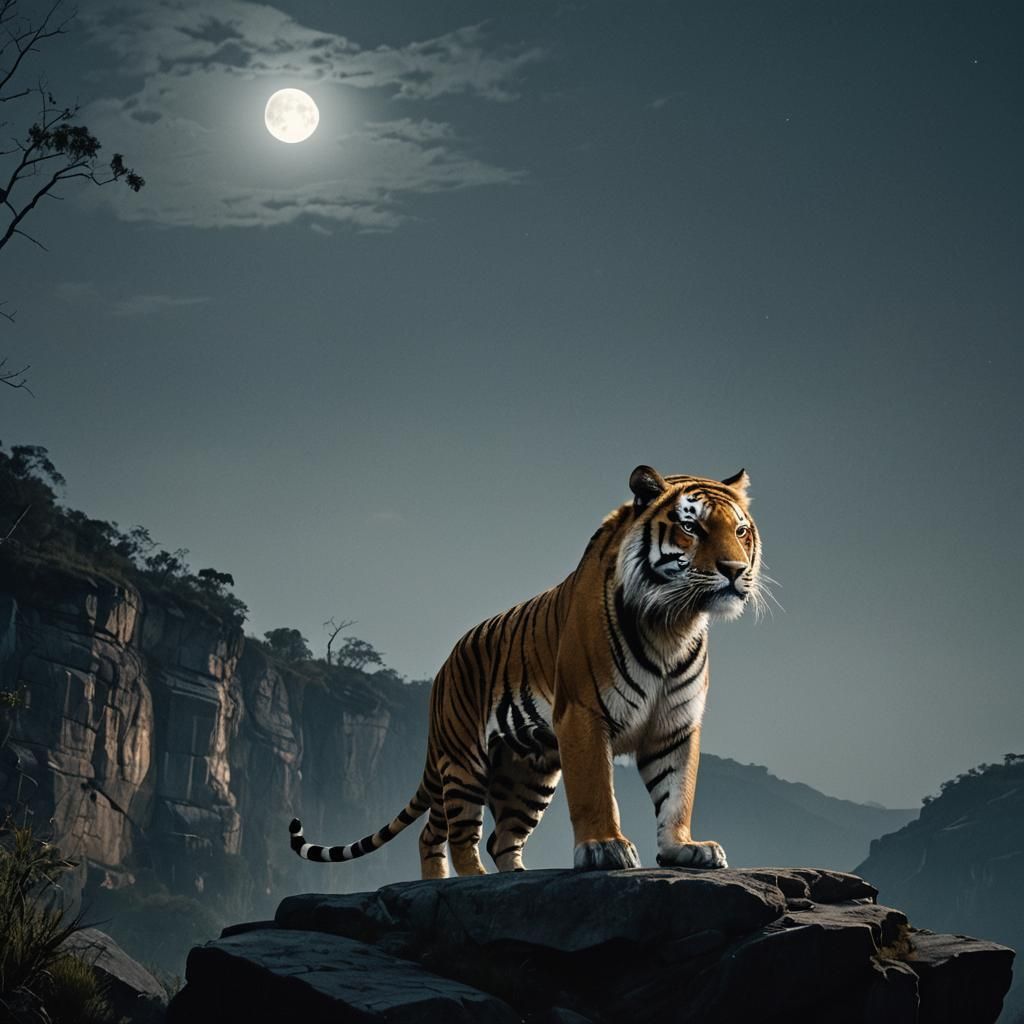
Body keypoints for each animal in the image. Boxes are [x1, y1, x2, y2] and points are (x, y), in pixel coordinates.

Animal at [290, 464, 763, 876]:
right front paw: (605, 847)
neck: (673, 623)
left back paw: (512, 873)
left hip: (527, 777)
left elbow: (677, 792)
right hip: (463, 763)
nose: (735, 570)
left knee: (492, 837)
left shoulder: (675, 726)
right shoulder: (584, 714)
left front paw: (684, 848)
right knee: (451, 834)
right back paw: (473, 879)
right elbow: (596, 790)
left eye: (740, 531)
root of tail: (442, 671)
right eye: (692, 528)